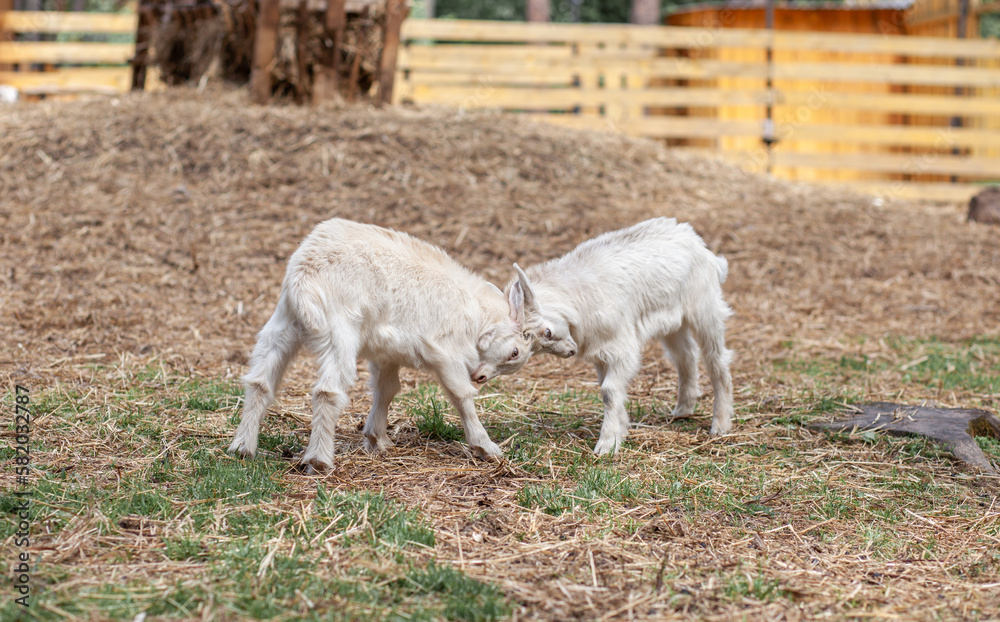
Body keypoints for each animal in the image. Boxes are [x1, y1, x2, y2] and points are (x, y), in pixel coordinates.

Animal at [228, 218, 533, 473]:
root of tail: (304, 276)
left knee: (260, 381)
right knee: (327, 391)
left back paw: (242, 448)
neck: (477, 315)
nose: (480, 377)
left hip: (283, 322)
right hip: (339, 331)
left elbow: (386, 390)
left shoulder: (388, 355)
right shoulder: (445, 353)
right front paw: (486, 447)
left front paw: (377, 439)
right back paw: (319, 459)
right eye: (514, 352)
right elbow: (462, 396)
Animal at [506, 217, 733, 455]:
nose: (570, 351)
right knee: (686, 356)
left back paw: (720, 424)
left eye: (547, 332)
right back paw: (683, 409)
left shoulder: (620, 347)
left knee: (716, 360)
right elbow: (607, 388)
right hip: (673, 323)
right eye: (535, 347)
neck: (577, 295)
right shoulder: (600, 352)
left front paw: (607, 444)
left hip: (705, 308)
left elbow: (608, 391)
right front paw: (622, 429)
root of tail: (702, 247)